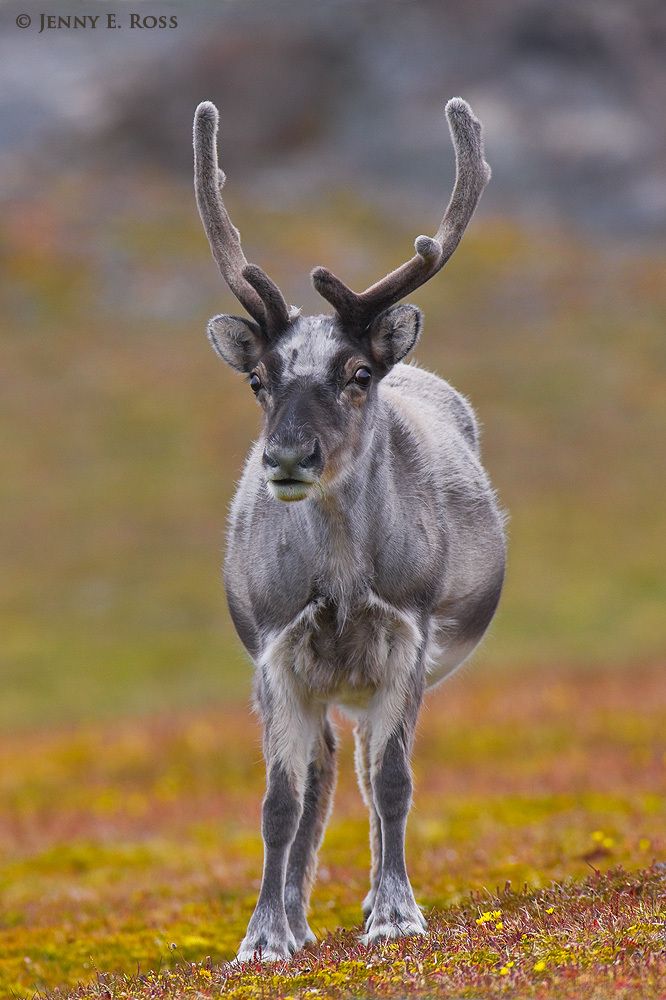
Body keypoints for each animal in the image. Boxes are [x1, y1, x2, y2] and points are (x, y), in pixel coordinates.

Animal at [192, 96, 506, 962]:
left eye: (358, 374)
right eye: (258, 379)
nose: (286, 457)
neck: (337, 582)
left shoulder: (407, 634)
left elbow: (393, 783)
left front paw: (395, 913)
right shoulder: (275, 651)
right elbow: (280, 801)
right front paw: (264, 934)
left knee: (366, 769)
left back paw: (368, 901)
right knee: (326, 773)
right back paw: (300, 916)